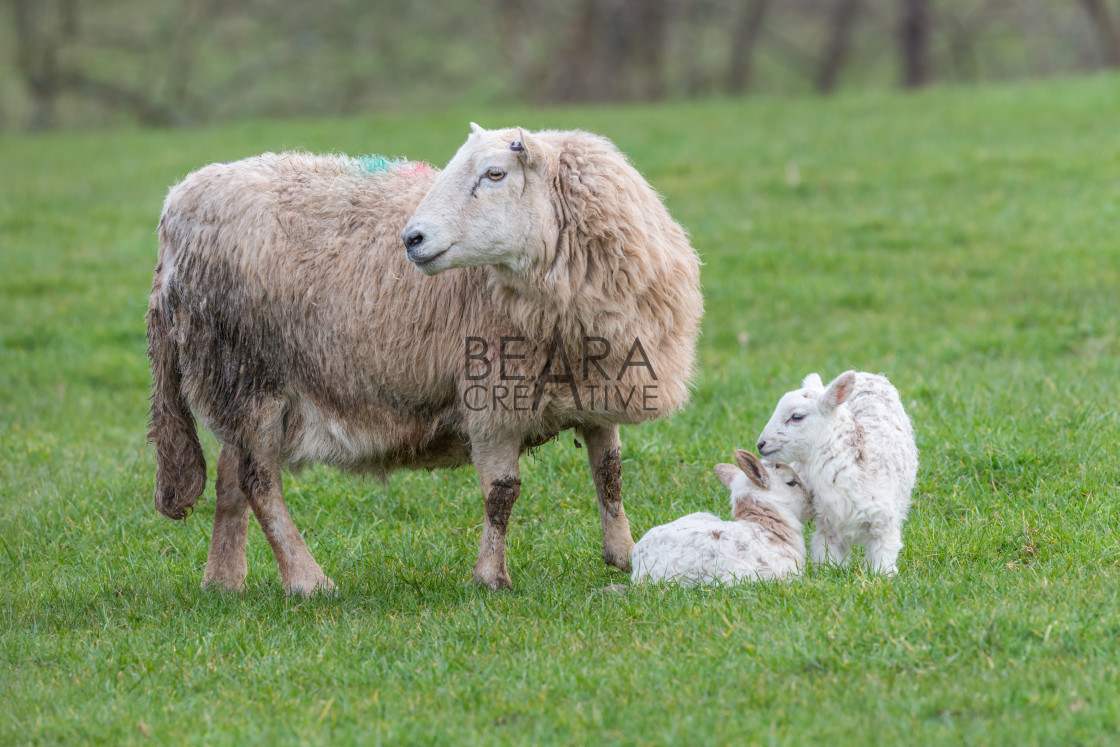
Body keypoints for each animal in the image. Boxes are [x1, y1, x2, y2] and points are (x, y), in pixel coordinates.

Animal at [752, 371, 918, 577]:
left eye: (796, 416)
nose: (761, 444)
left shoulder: (884, 524)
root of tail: (865, 373)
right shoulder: (827, 524)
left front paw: (882, 577)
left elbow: (882, 562)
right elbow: (827, 560)